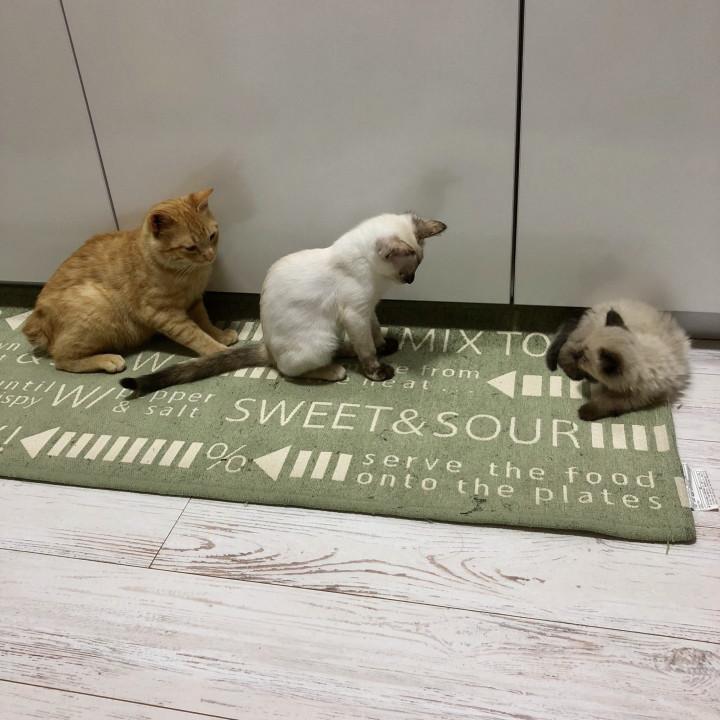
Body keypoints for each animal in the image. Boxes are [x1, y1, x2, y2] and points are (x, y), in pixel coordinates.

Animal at [23, 188, 238, 373]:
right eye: (191, 248)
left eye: (212, 236)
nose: (210, 256)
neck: (186, 273)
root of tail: (36, 318)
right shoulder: (164, 313)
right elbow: (195, 335)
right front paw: (219, 352)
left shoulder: (194, 300)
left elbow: (204, 322)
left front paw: (219, 334)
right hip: (97, 308)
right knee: (61, 358)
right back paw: (107, 360)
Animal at [121, 212, 446, 396]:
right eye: (407, 270)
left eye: (417, 268)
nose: (411, 281)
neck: (375, 279)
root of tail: (267, 346)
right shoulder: (355, 313)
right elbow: (367, 349)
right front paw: (377, 370)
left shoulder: (368, 311)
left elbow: (374, 333)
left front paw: (382, 346)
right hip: (321, 338)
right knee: (290, 370)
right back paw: (334, 370)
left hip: (333, 331)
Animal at [546, 299, 690, 420]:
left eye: (585, 359)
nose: (578, 356)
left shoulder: (637, 397)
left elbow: (607, 401)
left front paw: (586, 411)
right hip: (584, 334)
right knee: (565, 349)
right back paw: (573, 373)